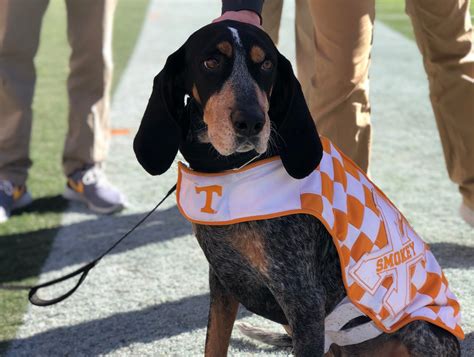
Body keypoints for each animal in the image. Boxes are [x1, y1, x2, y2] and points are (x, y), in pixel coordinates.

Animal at [132, 20, 460, 354]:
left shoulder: (303, 302)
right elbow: (214, 343)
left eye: (266, 64)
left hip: (417, 331)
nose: (252, 122)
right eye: (211, 62)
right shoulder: (223, 283)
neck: (234, 169)